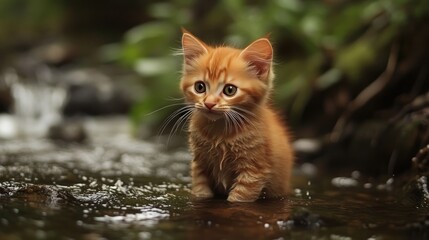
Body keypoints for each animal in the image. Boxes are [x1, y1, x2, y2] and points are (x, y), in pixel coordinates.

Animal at [178, 30, 294, 202]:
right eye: (200, 87)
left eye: (230, 90)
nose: (209, 103)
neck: (219, 132)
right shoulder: (199, 165)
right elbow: (201, 192)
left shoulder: (253, 171)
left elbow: (238, 199)